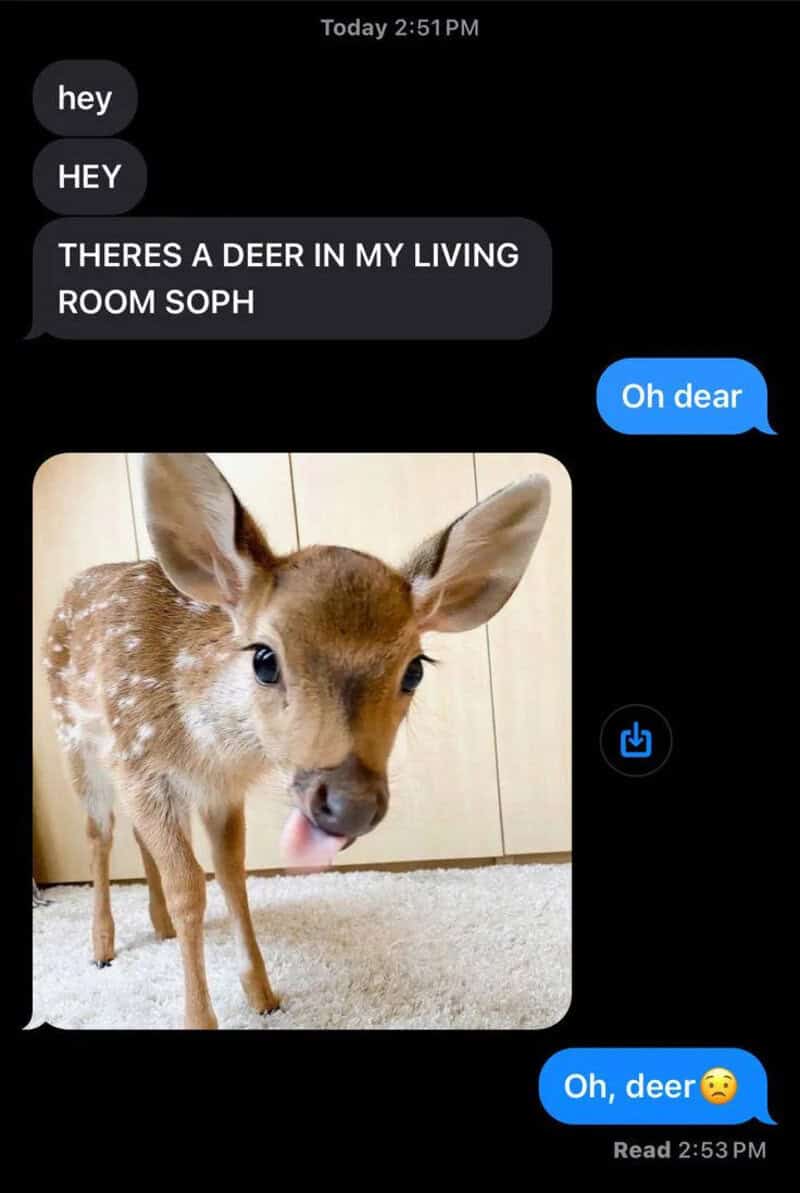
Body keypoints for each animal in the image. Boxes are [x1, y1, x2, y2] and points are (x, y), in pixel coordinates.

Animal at [43, 453, 551, 1029]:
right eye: (264, 658)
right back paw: (102, 946)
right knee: (98, 834)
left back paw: (158, 927)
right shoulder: (142, 763)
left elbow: (232, 876)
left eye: (415, 670)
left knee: (134, 837)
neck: (209, 747)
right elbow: (189, 888)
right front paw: (199, 1018)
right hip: (75, 741)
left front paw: (263, 994)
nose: (350, 805)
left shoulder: (218, 790)